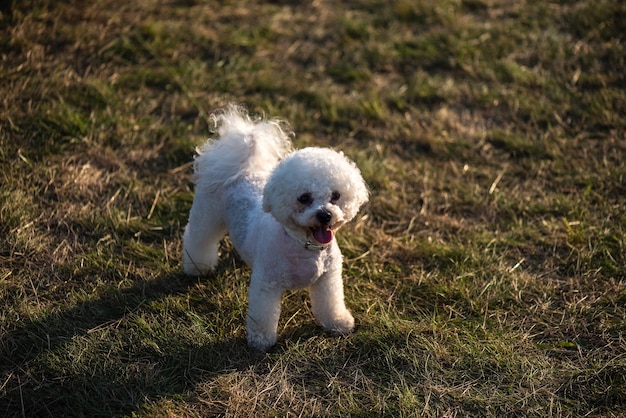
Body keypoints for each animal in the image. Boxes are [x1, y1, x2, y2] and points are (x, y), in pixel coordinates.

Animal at [182, 106, 366, 352]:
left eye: (335, 196)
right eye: (304, 198)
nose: (325, 215)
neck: (304, 245)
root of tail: (243, 167)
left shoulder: (328, 278)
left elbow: (332, 303)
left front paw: (338, 323)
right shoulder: (266, 285)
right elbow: (263, 316)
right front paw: (261, 341)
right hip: (206, 215)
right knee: (197, 238)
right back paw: (197, 266)